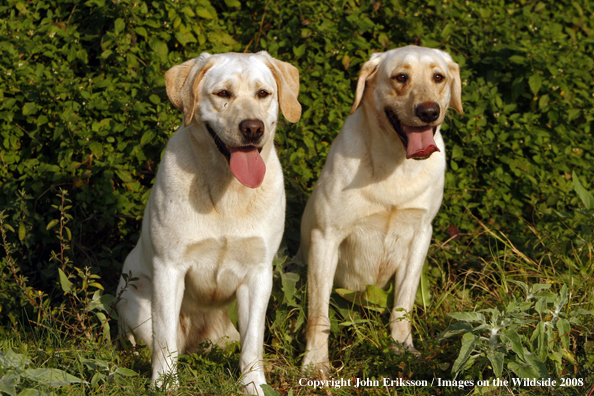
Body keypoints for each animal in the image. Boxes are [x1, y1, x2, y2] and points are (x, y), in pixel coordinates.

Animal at [117, 51, 300, 394]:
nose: (252, 128)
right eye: (223, 93)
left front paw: (253, 385)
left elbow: (253, 344)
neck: (227, 190)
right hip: (136, 303)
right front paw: (164, 384)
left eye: (263, 93)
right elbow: (165, 340)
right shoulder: (169, 268)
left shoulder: (258, 274)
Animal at [298, 46, 460, 374]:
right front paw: (316, 363)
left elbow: (403, 304)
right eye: (401, 77)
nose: (429, 111)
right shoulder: (325, 238)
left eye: (438, 77)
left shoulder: (420, 236)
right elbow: (318, 314)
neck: (396, 163)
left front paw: (402, 348)